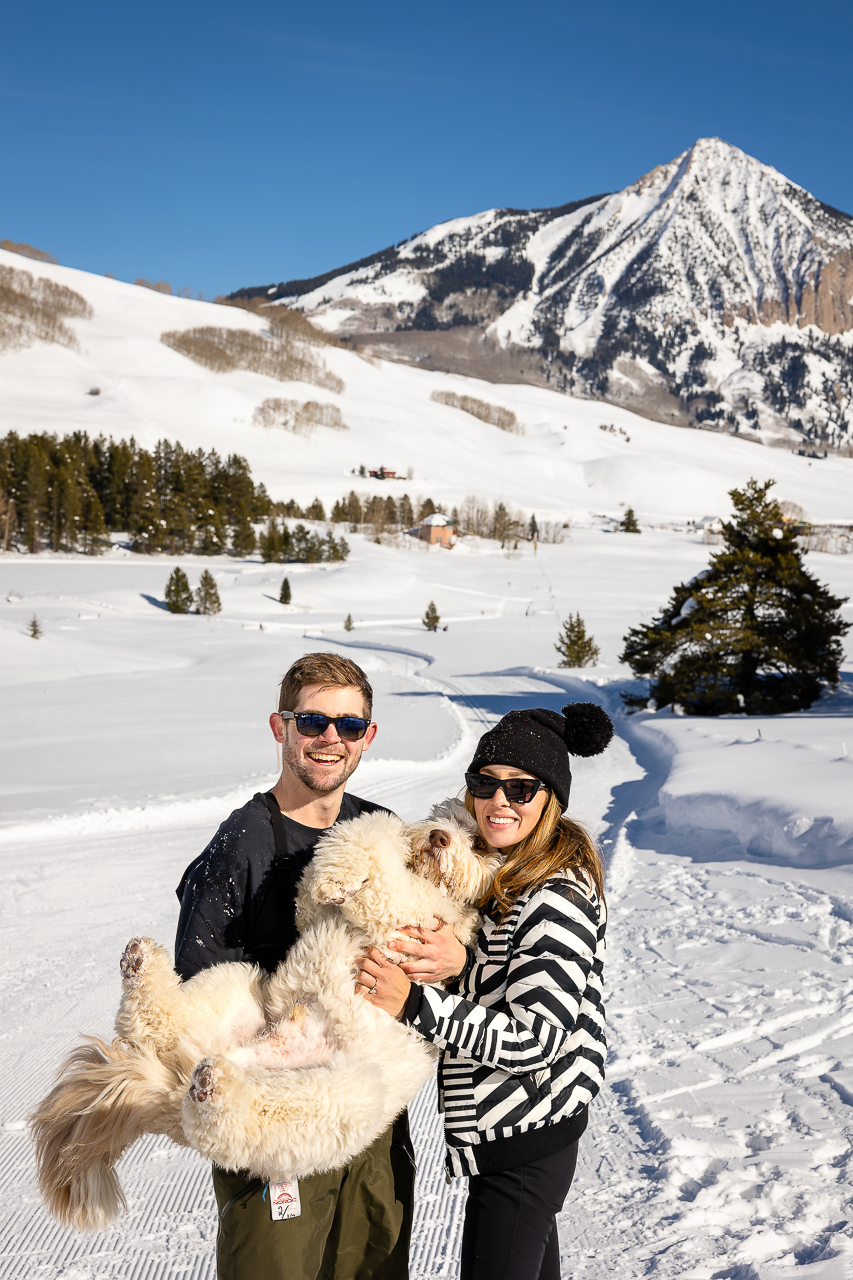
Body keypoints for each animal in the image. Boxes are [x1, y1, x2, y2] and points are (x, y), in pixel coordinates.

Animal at [31, 798, 499, 1228]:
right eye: (444, 817)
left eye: (478, 843)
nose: (438, 838)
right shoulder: (315, 911)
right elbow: (356, 847)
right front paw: (337, 879)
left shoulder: (416, 913)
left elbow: (385, 876)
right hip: (232, 988)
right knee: (159, 1022)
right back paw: (141, 967)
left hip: (331, 1098)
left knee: (236, 1120)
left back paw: (213, 1086)